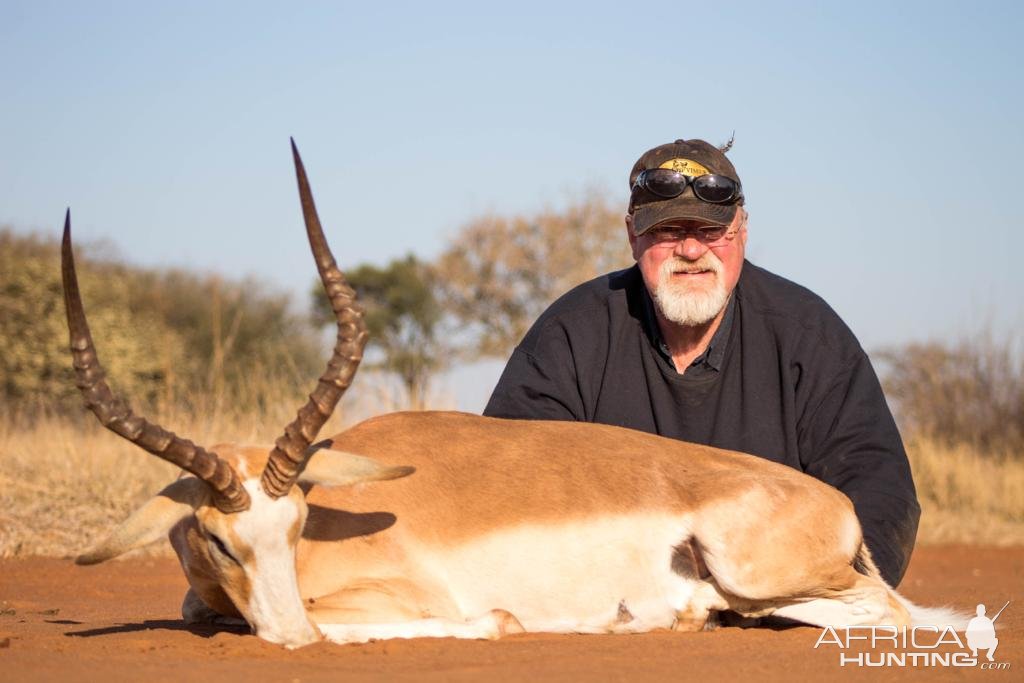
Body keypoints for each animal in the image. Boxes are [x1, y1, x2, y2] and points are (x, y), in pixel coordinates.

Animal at [64, 143, 958, 647]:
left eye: (294, 521)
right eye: (217, 539)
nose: (288, 635)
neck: (331, 527)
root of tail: (832, 503)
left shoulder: (391, 597)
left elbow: (435, 620)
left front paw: (501, 623)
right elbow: (197, 608)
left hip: (759, 570)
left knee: (900, 613)